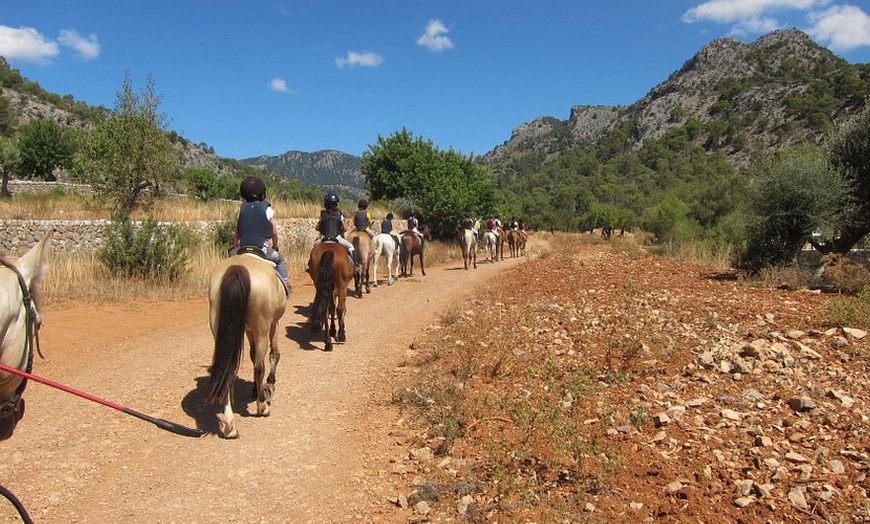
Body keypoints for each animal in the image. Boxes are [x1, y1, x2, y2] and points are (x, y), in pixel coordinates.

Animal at [205, 252, 288, 439]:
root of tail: (238, 267)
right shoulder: (273, 324)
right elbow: (274, 353)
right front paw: (269, 385)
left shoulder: (248, 330)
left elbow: (252, 355)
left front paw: (255, 389)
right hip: (262, 329)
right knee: (259, 366)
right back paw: (262, 407)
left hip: (219, 330)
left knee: (226, 370)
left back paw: (230, 427)